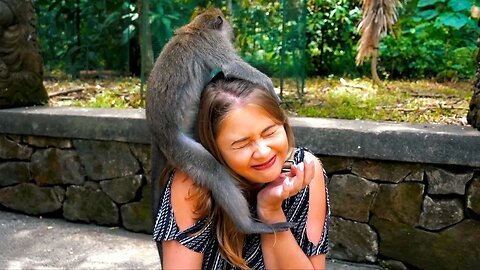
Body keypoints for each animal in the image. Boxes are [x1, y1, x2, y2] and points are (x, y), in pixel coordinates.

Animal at [146, 7, 292, 233]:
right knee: (213, 171)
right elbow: (232, 66)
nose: (233, 33)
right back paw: (249, 226)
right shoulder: (213, 43)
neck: (196, 27)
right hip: (178, 146)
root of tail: (156, 133)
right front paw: (271, 88)